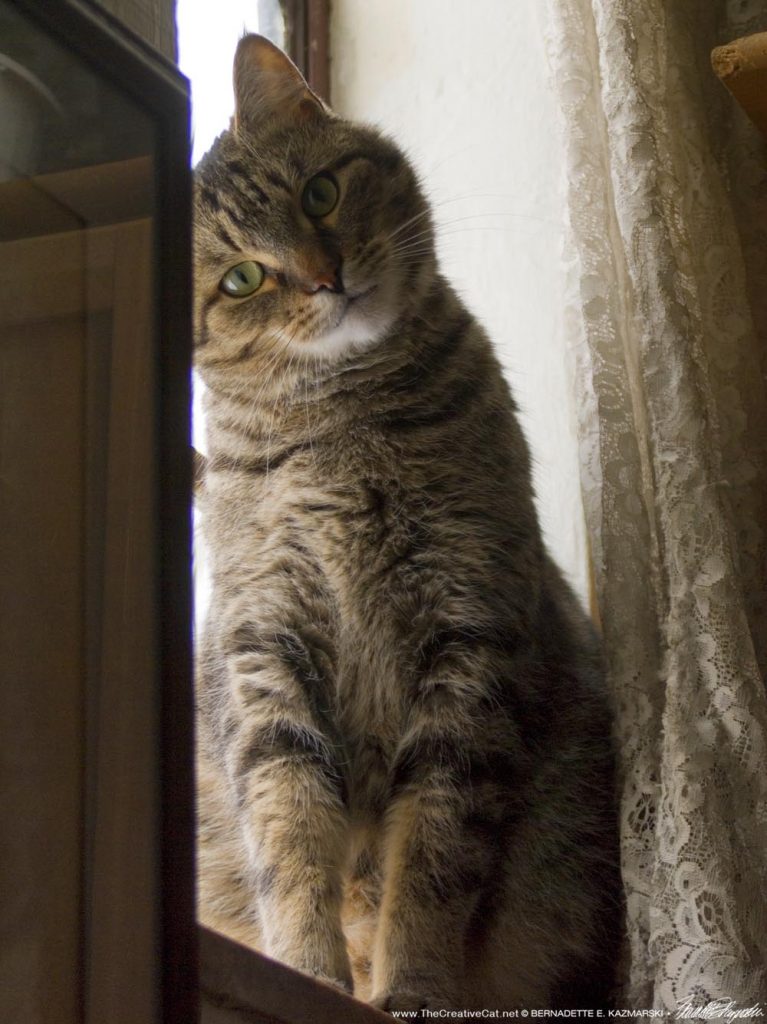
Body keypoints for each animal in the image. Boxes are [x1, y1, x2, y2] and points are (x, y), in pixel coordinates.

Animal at [194, 34, 618, 1015]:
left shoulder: (468, 635)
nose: (325, 276)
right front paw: (308, 974)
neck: (337, 429)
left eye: (319, 194)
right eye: (242, 277)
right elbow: (288, 837)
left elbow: (431, 856)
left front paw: (411, 987)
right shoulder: (265, 649)